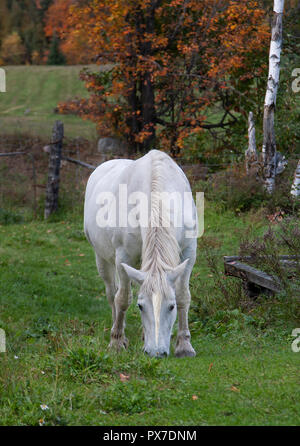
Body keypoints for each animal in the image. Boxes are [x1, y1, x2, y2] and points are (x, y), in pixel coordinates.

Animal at [84, 150, 197, 358]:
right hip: (102, 259)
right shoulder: (123, 257)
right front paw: (116, 342)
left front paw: (184, 345)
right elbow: (122, 299)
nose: (156, 352)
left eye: (171, 306)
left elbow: (183, 295)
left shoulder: (189, 253)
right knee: (112, 293)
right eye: (141, 306)